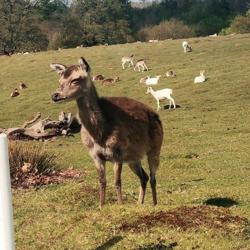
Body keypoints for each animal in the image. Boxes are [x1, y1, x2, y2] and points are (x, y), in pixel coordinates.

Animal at [50, 58, 164, 207]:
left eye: (75, 79)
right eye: (60, 80)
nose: (55, 95)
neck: (99, 134)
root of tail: (155, 115)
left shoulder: (118, 152)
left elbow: (117, 182)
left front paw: (120, 204)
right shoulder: (95, 155)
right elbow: (102, 181)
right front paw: (101, 205)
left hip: (155, 147)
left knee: (153, 177)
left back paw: (155, 204)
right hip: (133, 157)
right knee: (144, 177)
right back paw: (139, 204)